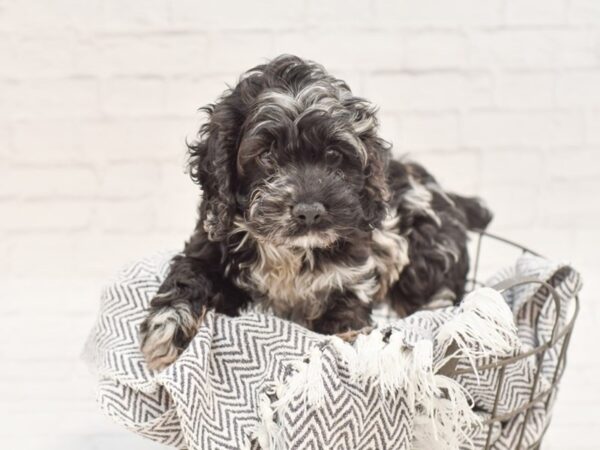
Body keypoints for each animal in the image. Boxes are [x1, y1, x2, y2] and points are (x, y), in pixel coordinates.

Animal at [139, 55, 492, 370]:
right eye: (266, 155)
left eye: (334, 155)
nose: (309, 212)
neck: (291, 251)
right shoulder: (209, 245)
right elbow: (188, 274)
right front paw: (166, 328)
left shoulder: (350, 281)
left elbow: (342, 326)